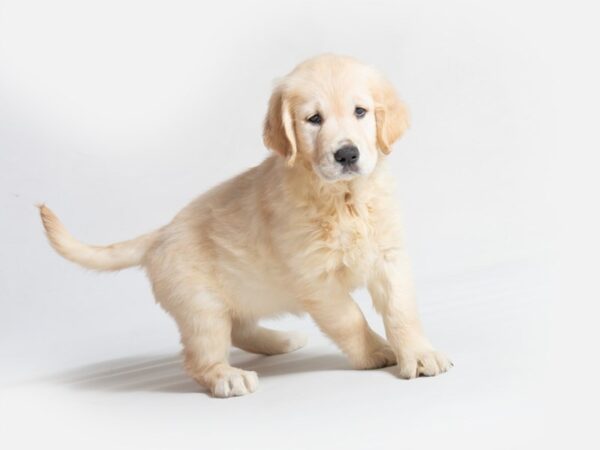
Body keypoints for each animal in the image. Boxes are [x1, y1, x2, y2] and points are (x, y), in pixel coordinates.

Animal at [38, 55, 450, 398]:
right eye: (314, 119)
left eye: (360, 111)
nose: (347, 154)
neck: (342, 198)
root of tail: (159, 234)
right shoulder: (315, 279)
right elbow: (350, 319)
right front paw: (376, 352)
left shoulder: (388, 256)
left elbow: (402, 310)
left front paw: (420, 354)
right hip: (201, 307)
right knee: (201, 355)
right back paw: (227, 376)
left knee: (240, 328)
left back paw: (281, 341)